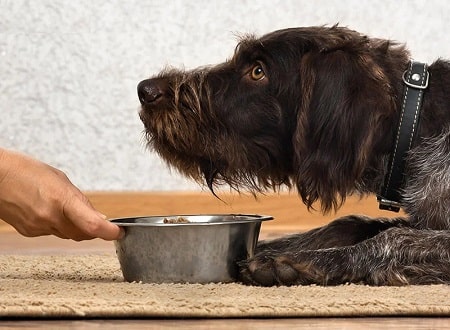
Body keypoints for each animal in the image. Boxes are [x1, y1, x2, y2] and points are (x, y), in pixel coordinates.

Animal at [137, 25, 450, 284]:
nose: (145, 90)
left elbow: (395, 237)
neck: (414, 125)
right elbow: (350, 223)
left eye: (258, 71)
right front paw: (268, 247)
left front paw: (299, 261)